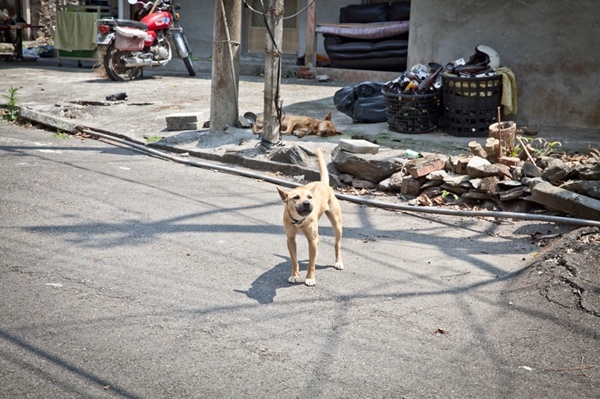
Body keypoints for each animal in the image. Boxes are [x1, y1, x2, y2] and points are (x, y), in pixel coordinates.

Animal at [276, 148, 342, 286]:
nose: (307, 203)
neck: (299, 221)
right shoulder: (290, 239)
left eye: (310, 197)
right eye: (295, 197)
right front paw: (294, 275)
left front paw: (310, 278)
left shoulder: (311, 240)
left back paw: (338, 261)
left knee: (337, 244)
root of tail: (323, 183)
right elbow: (294, 260)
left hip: (337, 225)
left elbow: (311, 263)